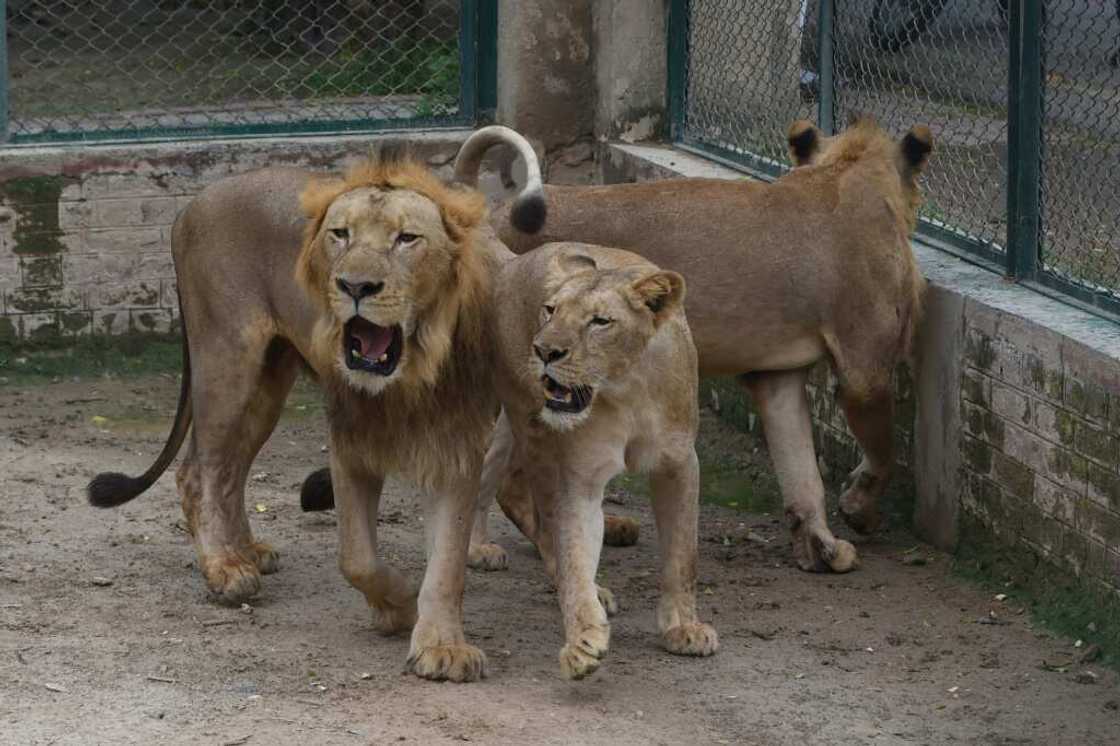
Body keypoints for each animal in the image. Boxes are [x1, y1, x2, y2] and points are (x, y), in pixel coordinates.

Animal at [84, 129, 546, 681]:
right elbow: (358, 558)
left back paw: (247, 551)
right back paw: (225, 569)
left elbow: (448, 561)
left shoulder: (456, 445)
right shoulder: (350, 440)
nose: (355, 286)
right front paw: (398, 605)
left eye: (407, 239)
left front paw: (442, 646)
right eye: (340, 235)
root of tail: (191, 206)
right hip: (227, 358)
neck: (412, 370)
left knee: (230, 469)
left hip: (267, 381)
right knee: (198, 469)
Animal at [459, 117, 931, 569]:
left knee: (499, 470)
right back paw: (513, 550)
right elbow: (883, 453)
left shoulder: (776, 377)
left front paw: (820, 547)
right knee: (506, 475)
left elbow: (801, 469)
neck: (847, 171)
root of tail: (493, 215)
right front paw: (859, 510)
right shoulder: (865, 371)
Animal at [490, 240, 716, 676]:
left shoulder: (680, 463)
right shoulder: (581, 476)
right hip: (533, 429)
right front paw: (582, 639)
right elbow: (576, 553)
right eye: (550, 310)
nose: (544, 351)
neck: (627, 389)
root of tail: (515, 259)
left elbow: (683, 554)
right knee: (535, 512)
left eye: (599, 321)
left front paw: (683, 628)